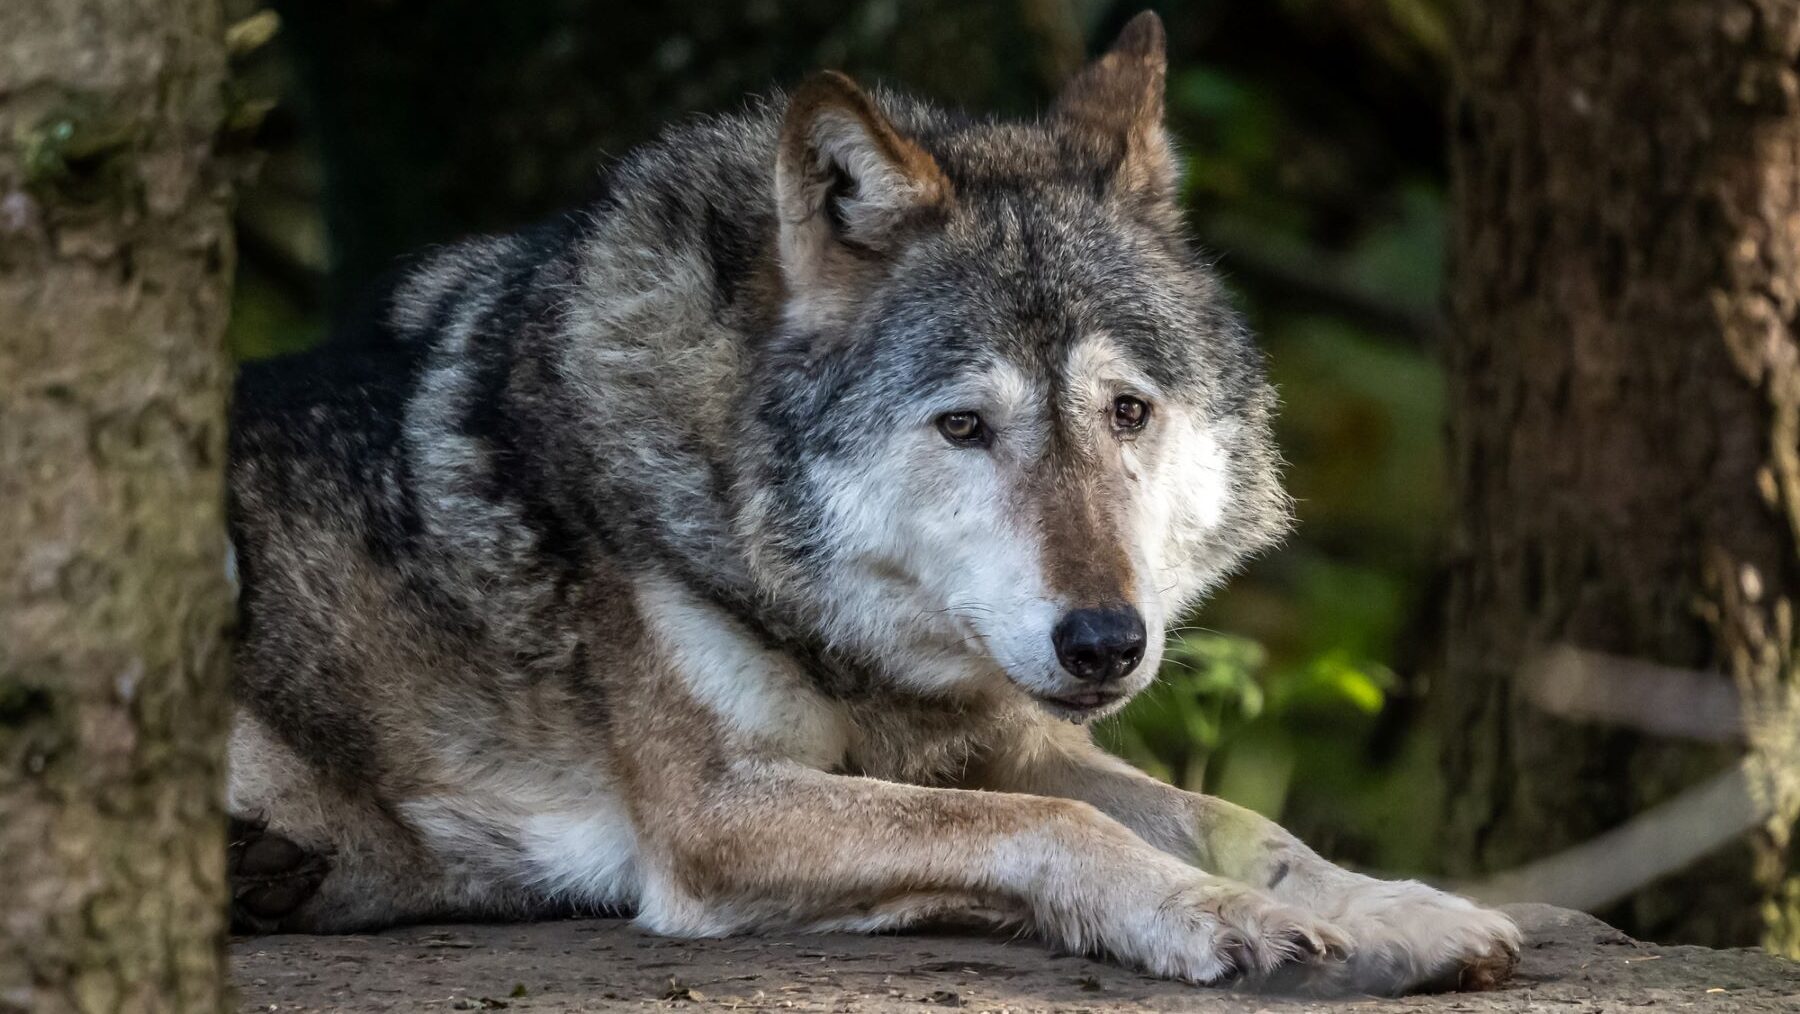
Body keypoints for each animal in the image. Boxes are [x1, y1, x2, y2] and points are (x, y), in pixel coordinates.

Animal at [225, 11, 1519, 994]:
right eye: (964, 425)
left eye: (1127, 411)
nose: (1106, 642)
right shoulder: (715, 813)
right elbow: (1049, 827)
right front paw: (1217, 919)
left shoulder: (1016, 739)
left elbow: (1235, 819)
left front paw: (1401, 911)